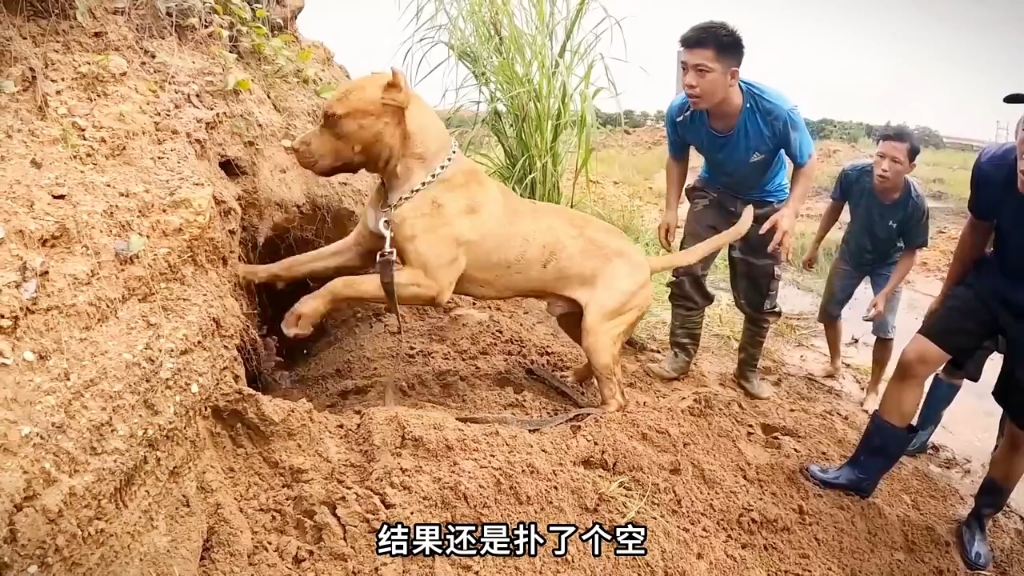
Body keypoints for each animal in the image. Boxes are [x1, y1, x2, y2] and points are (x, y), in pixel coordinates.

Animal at [239, 68, 753, 412]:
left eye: (332, 116)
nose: (292, 149)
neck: (412, 179)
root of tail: (643, 260)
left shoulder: (429, 283)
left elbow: (340, 284)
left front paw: (302, 314)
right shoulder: (360, 246)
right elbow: (299, 264)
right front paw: (246, 270)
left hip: (599, 324)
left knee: (617, 394)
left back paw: (588, 421)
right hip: (578, 319)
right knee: (602, 361)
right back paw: (572, 378)